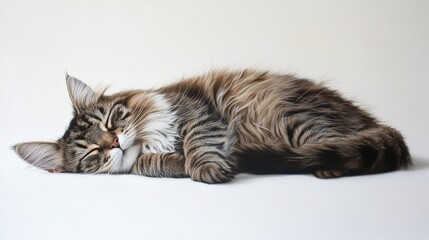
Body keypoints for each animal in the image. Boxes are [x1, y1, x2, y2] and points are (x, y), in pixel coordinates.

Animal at [13, 69, 412, 184]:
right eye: (92, 153)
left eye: (111, 121)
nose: (114, 143)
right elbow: (148, 163)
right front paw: (176, 163)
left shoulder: (199, 112)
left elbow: (198, 145)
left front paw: (205, 168)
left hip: (296, 120)